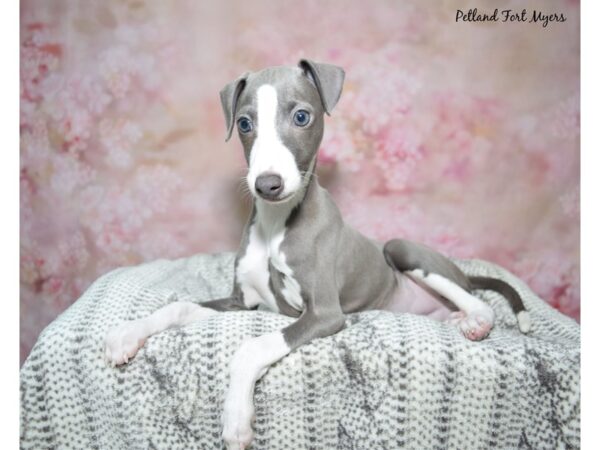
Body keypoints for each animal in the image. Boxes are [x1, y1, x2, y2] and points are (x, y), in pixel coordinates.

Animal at [103, 59, 528, 450]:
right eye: (244, 123)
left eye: (302, 116)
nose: (267, 184)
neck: (276, 224)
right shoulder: (242, 301)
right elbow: (178, 306)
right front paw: (126, 334)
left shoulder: (324, 313)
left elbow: (252, 346)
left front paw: (236, 418)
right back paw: (459, 320)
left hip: (401, 248)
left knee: (478, 301)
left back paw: (476, 322)